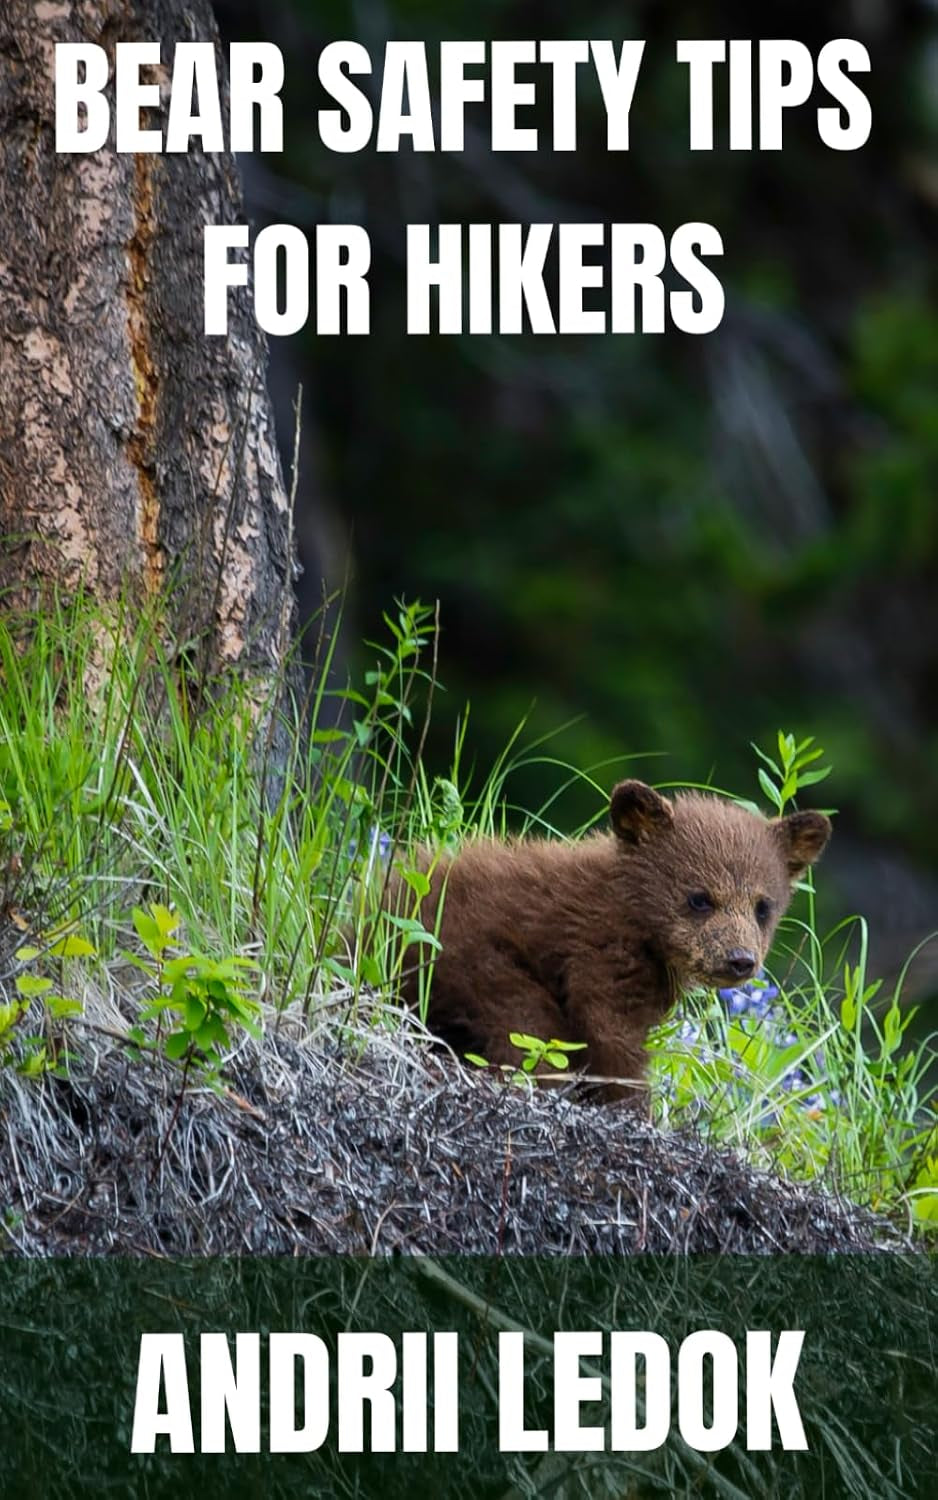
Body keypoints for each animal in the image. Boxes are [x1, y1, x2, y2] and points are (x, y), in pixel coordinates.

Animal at [396, 780, 831, 1103]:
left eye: (763, 906)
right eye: (700, 898)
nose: (739, 960)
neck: (635, 916)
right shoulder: (600, 950)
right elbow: (611, 1034)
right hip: (473, 961)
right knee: (527, 1029)